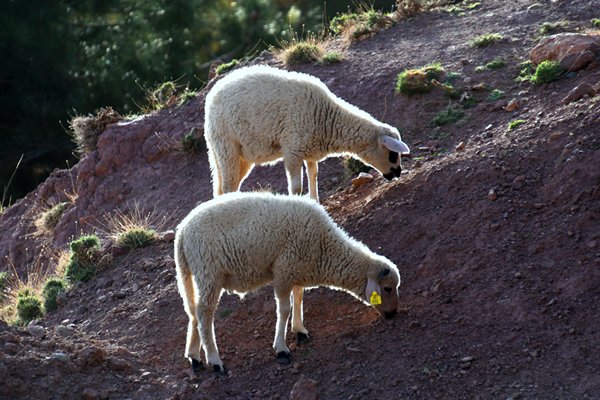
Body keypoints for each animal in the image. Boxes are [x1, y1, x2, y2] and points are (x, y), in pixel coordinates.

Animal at [173, 192, 400, 374]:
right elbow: (284, 309)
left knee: (194, 313)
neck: (324, 248)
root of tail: (182, 231)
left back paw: (194, 357)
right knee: (204, 314)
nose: (393, 314)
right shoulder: (283, 271)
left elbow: (298, 298)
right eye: (387, 288)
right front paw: (281, 348)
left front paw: (300, 330)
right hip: (209, 272)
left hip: (198, 274)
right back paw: (215, 360)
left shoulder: (296, 270)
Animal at [204, 66, 410, 203]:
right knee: (228, 186)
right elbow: (296, 187)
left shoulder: (310, 149)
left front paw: (315, 202)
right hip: (226, 145)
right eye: (392, 154)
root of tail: (211, 97)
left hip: (240, 156)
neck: (328, 119)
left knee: (224, 188)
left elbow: (314, 175)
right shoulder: (292, 151)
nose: (398, 173)